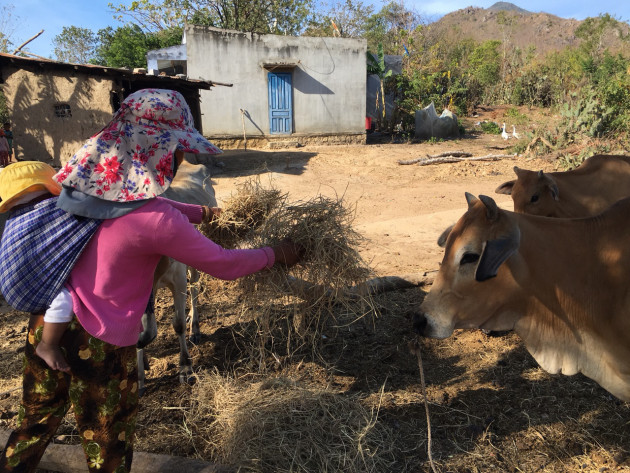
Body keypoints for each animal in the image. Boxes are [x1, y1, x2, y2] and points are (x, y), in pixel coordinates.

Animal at [138, 160, 217, 392]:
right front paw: (140, 375)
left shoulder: (178, 279)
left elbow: (178, 323)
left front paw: (186, 369)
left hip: (196, 262)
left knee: (195, 289)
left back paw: (195, 328)